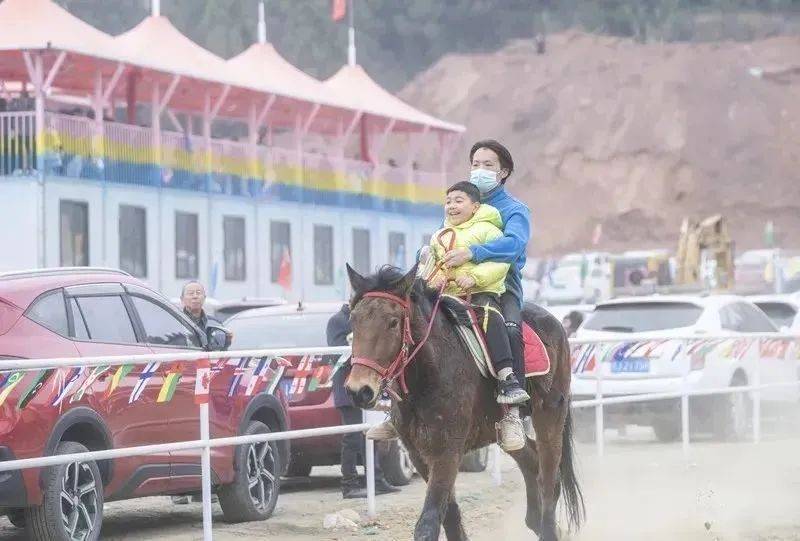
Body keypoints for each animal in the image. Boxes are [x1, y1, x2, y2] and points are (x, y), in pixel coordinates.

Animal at [344, 264, 580, 540]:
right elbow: (450, 516)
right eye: (354, 319)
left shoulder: (447, 451)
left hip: (550, 415)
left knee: (549, 479)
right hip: (504, 430)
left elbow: (429, 522)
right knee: (532, 462)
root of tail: (556, 325)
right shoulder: (418, 454)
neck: (432, 370)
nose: (358, 390)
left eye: (393, 322)